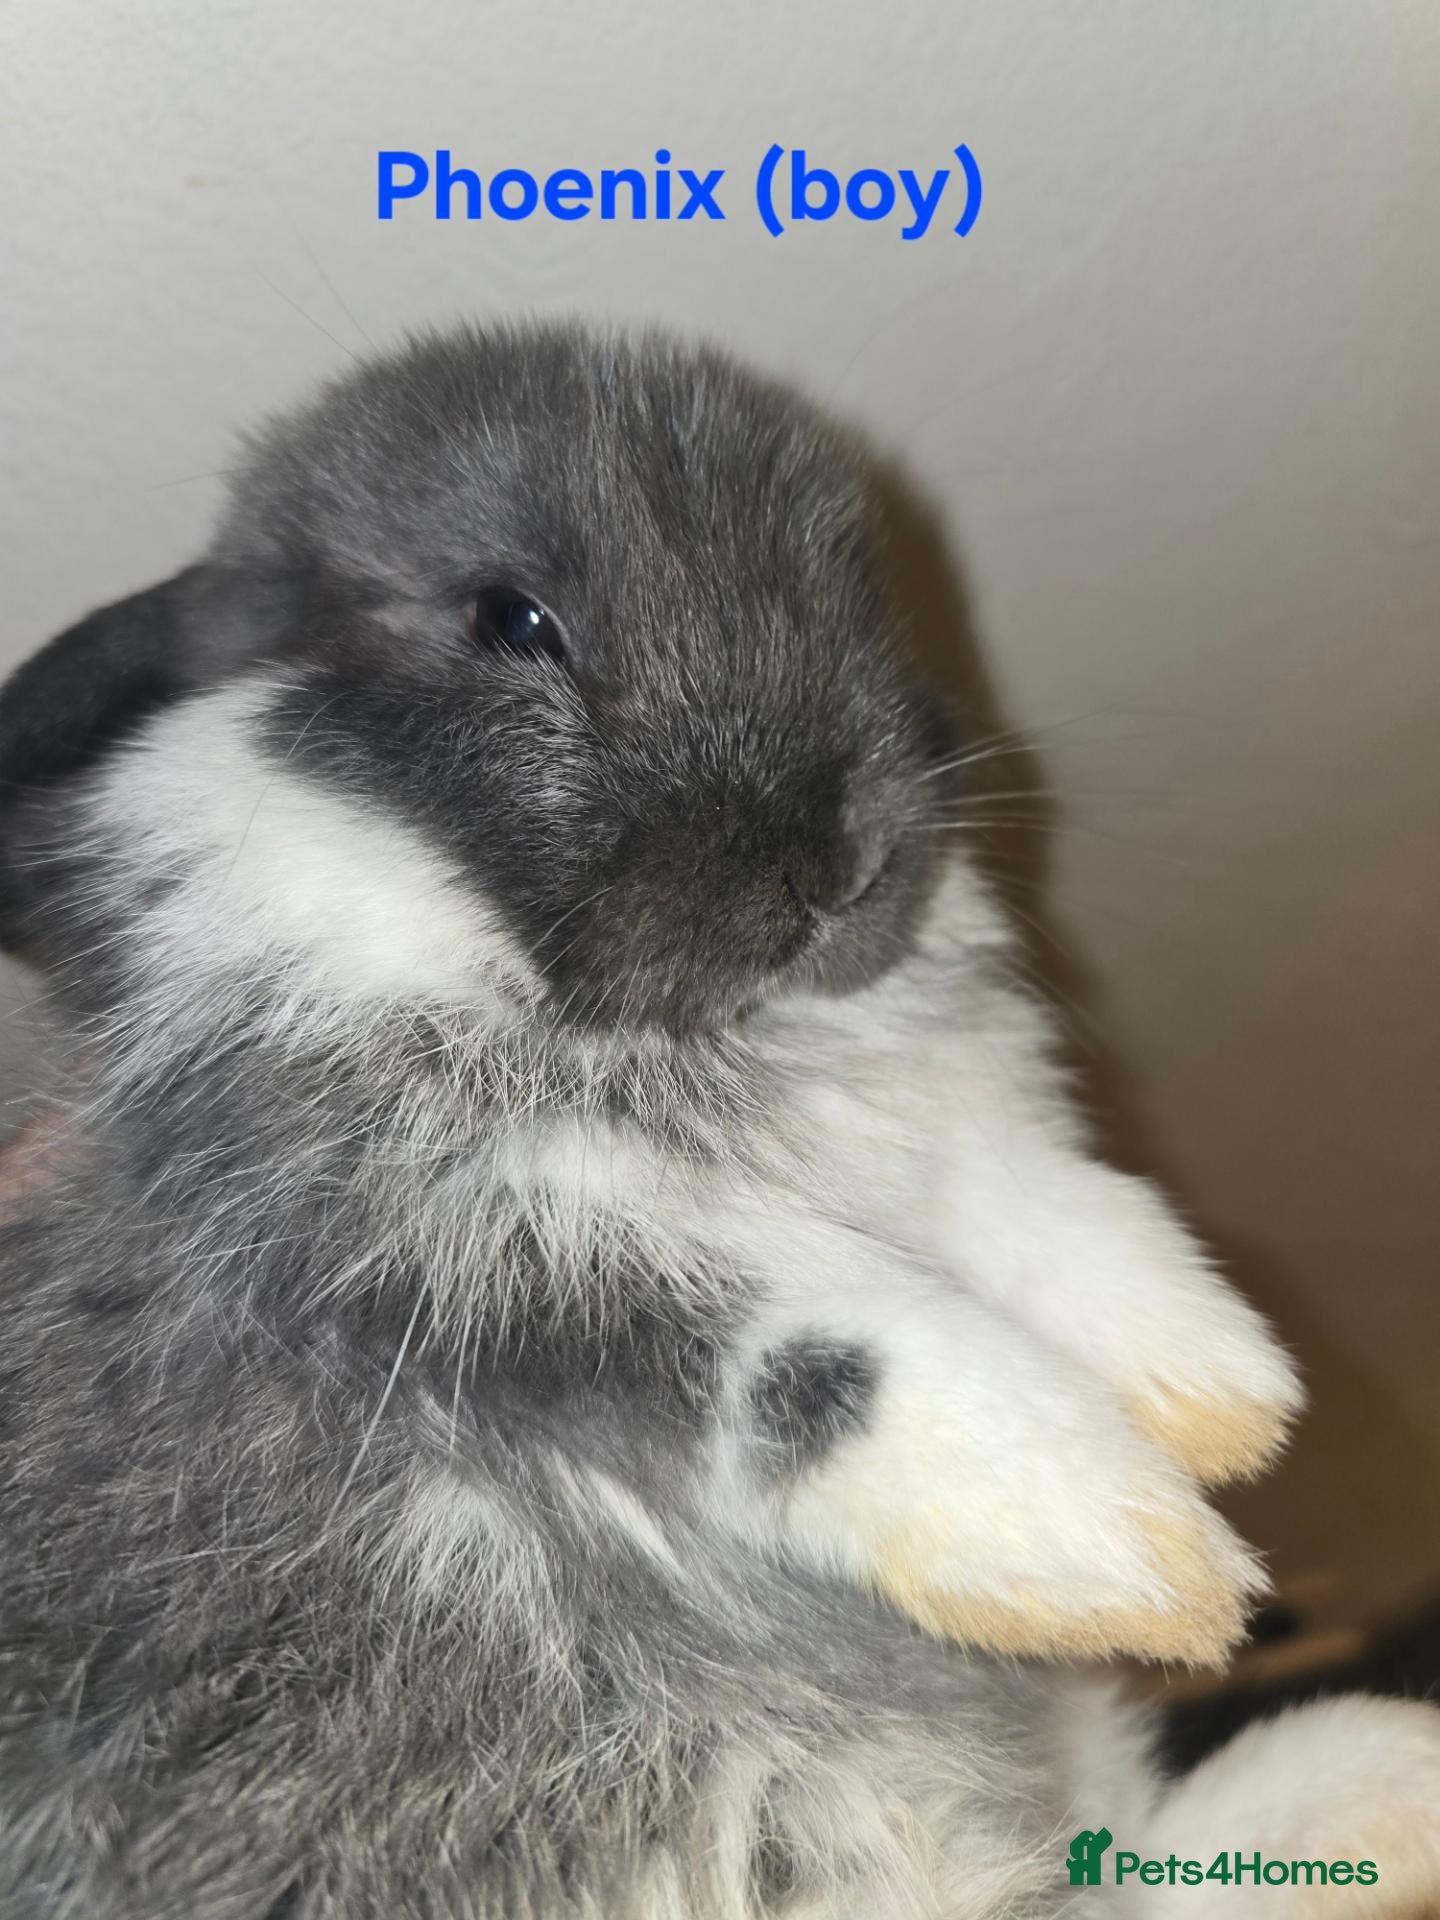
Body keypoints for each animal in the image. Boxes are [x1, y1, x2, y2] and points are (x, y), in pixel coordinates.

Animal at [0, 320, 1434, 1918]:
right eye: (512, 619)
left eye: (855, 591)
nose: (838, 863)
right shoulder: (472, 1243)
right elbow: (834, 1355)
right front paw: (1136, 1550)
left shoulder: (929, 1143)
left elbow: (1036, 1202)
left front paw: (1226, 1391)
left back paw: (1378, 1779)